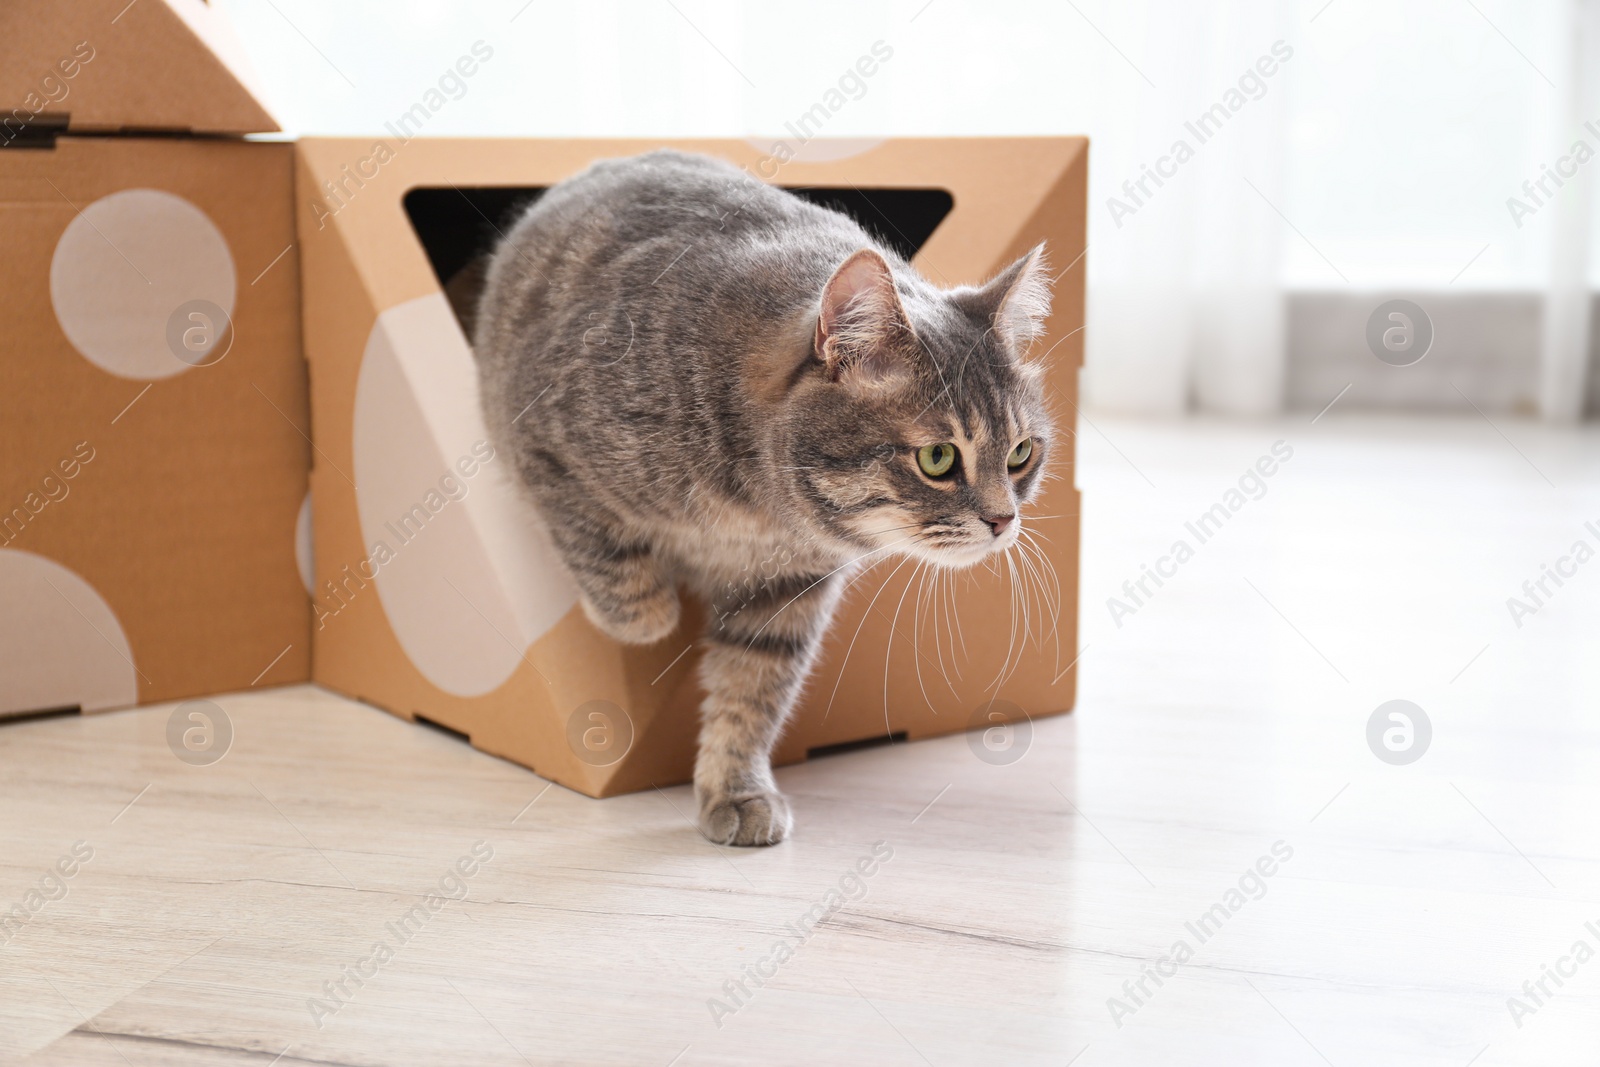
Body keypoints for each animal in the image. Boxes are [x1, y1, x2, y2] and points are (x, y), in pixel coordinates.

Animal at [470, 151, 1049, 851]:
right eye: (938, 459)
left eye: (1021, 454)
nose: (1004, 520)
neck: (759, 513)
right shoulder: (545, 449)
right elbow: (626, 591)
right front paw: (649, 613)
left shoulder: (786, 592)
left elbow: (751, 694)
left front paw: (735, 790)